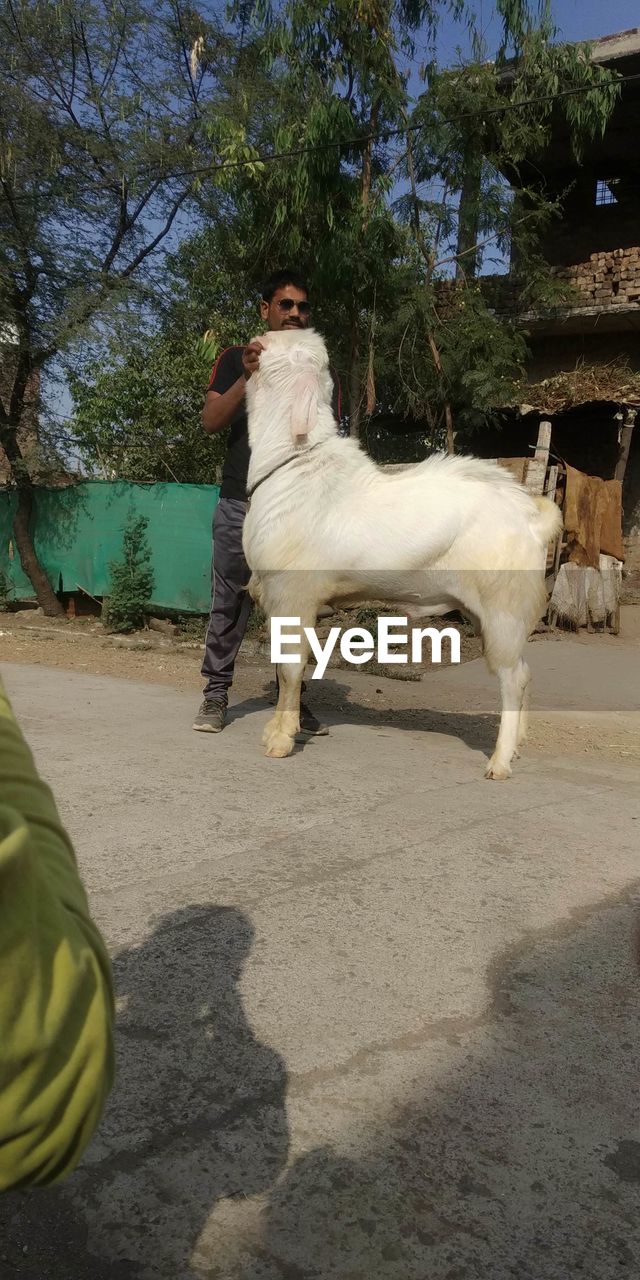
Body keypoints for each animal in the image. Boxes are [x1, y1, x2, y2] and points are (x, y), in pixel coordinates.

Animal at [241, 327, 563, 778]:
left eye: (278, 346)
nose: (257, 338)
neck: (295, 468)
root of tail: (531, 518)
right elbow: (283, 668)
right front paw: (276, 730)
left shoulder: (293, 594)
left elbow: (290, 669)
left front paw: (281, 740)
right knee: (525, 672)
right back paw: (516, 747)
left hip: (504, 607)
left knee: (512, 678)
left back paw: (499, 762)